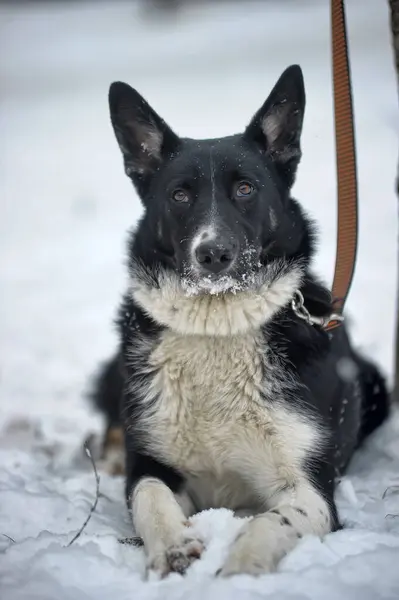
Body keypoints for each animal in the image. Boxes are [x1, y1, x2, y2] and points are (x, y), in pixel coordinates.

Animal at [90, 64, 390, 576]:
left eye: (245, 189)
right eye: (180, 195)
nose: (213, 253)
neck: (219, 325)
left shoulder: (309, 487)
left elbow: (272, 521)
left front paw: (242, 568)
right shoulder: (152, 466)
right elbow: (151, 500)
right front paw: (173, 547)